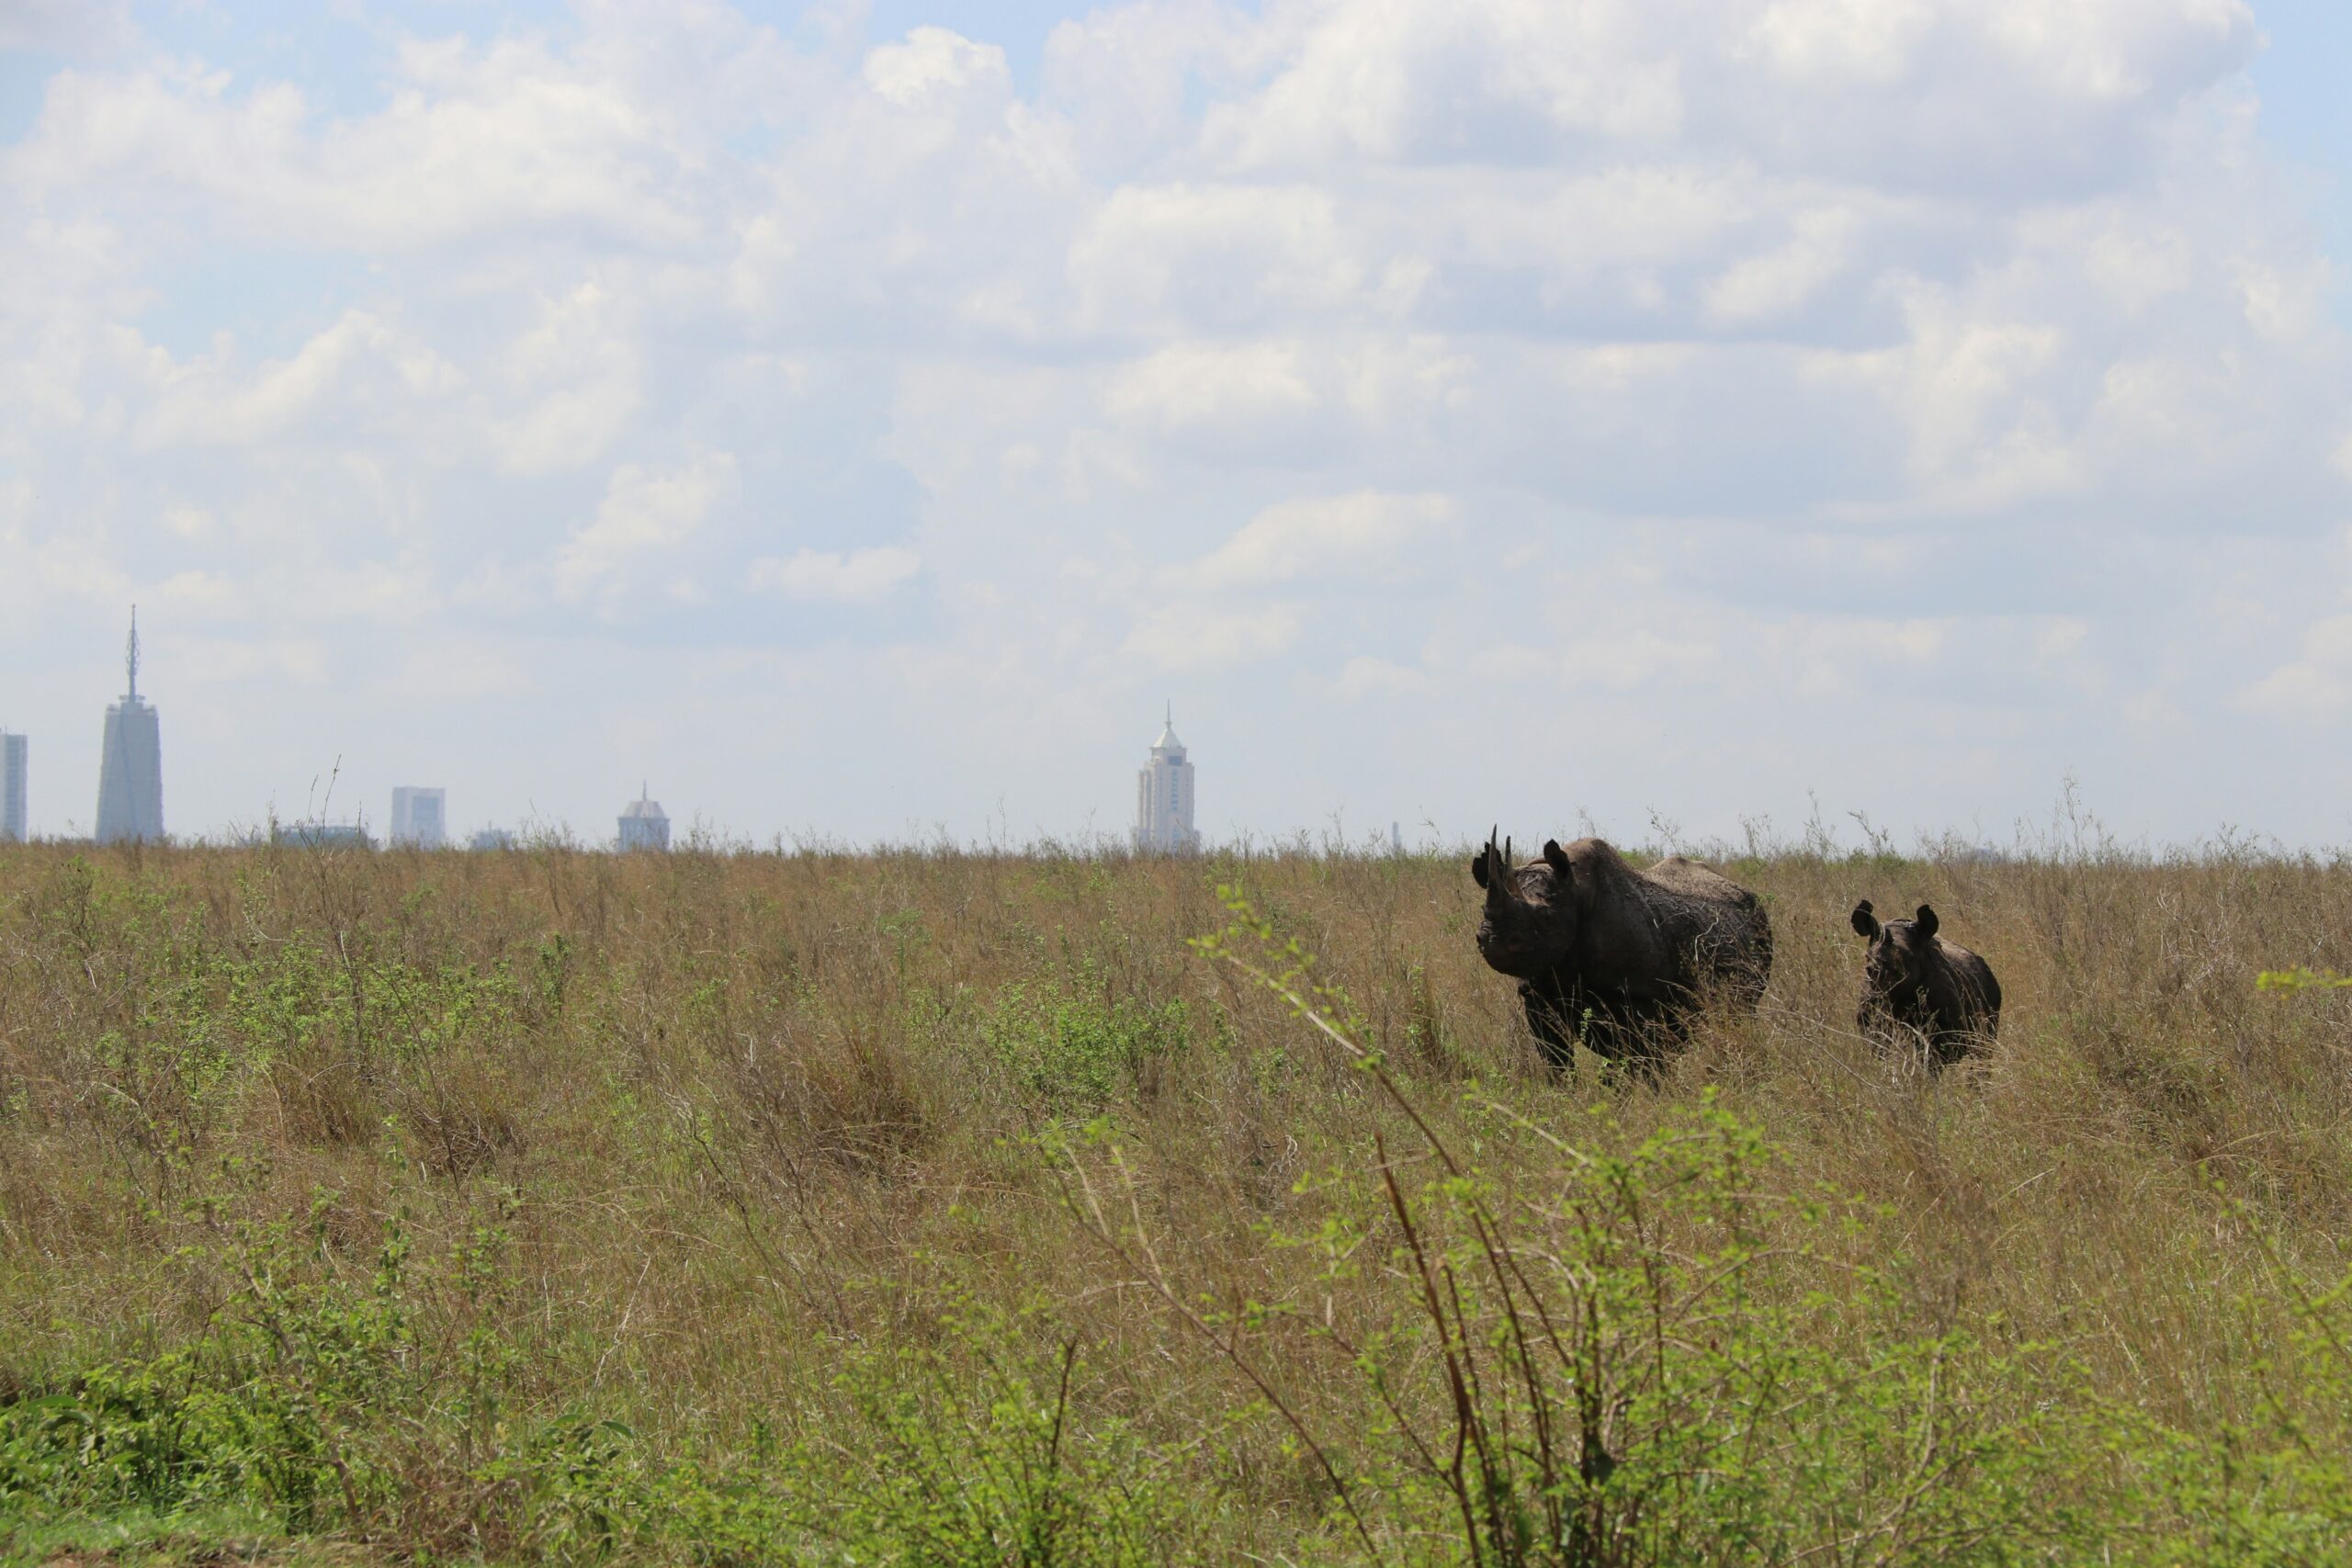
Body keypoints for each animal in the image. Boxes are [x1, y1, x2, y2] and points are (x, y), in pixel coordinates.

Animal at [1470, 831, 1773, 1073]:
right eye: (1482, 911)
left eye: (1545, 916)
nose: (1492, 940)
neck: (1575, 892)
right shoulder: (1538, 995)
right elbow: (1558, 1062)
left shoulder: (1641, 997)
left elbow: (1640, 1061)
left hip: (1758, 925)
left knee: (1740, 1016)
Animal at [1848, 900, 2000, 1071]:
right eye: (1867, 957)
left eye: (1909, 956)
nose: (1876, 970)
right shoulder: (1872, 1022)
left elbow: (1932, 1063)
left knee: (1982, 1052)